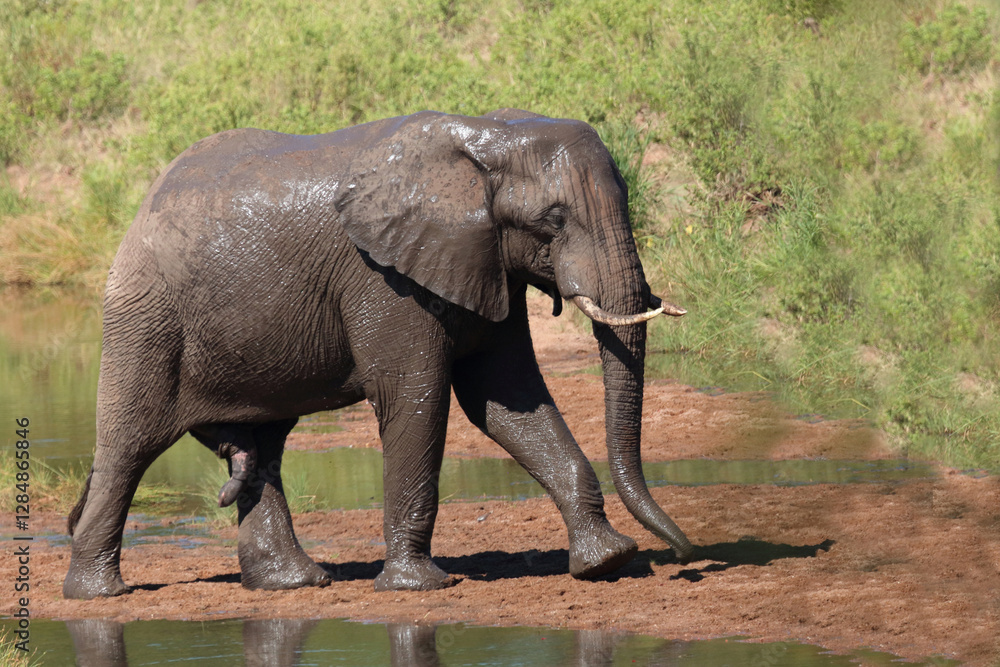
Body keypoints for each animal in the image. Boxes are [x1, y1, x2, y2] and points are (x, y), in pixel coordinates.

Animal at [63, 108, 694, 600]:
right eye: (554, 221)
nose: (685, 555)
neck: (487, 134)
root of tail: (141, 207)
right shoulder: (384, 279)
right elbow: (417, 397)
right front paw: (419, 586)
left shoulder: (483, 260)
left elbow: (508, 400)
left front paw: (607, 562)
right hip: (145, 319)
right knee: (128, 448)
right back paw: (97, 593)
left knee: (265, 447)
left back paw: (296, 583)